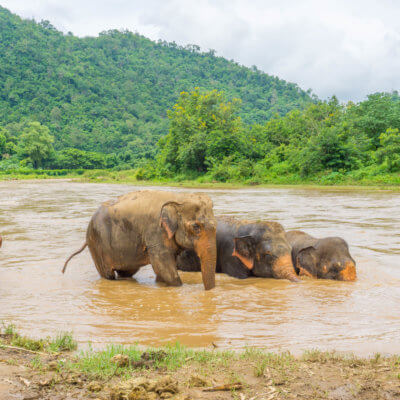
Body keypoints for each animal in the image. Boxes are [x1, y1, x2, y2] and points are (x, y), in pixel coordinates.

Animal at [62, 191, 217, 290]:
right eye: (196, 227)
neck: (178, 197)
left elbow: (164, 267)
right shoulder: (155, 231)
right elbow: (162, 264)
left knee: (127, 271)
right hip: (97, 244)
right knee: (107, 274)